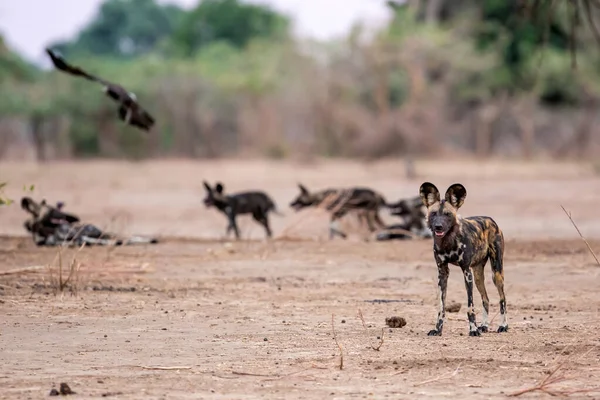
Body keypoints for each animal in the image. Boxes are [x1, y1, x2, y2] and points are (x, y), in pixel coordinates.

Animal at [420, 183, 508, 336]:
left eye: (447, 214)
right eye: (434, 214)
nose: (438, 226)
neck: (448, 242)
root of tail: (491, 220)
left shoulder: (466, 272)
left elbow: (470, 306)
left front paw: (473, 329)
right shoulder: (442, 273)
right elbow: (441, 307)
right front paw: (438, 329)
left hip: (496, 273)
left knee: (502, 299)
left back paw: (503, 325)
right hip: (478, 275)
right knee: (486, 299)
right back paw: (484, 325)